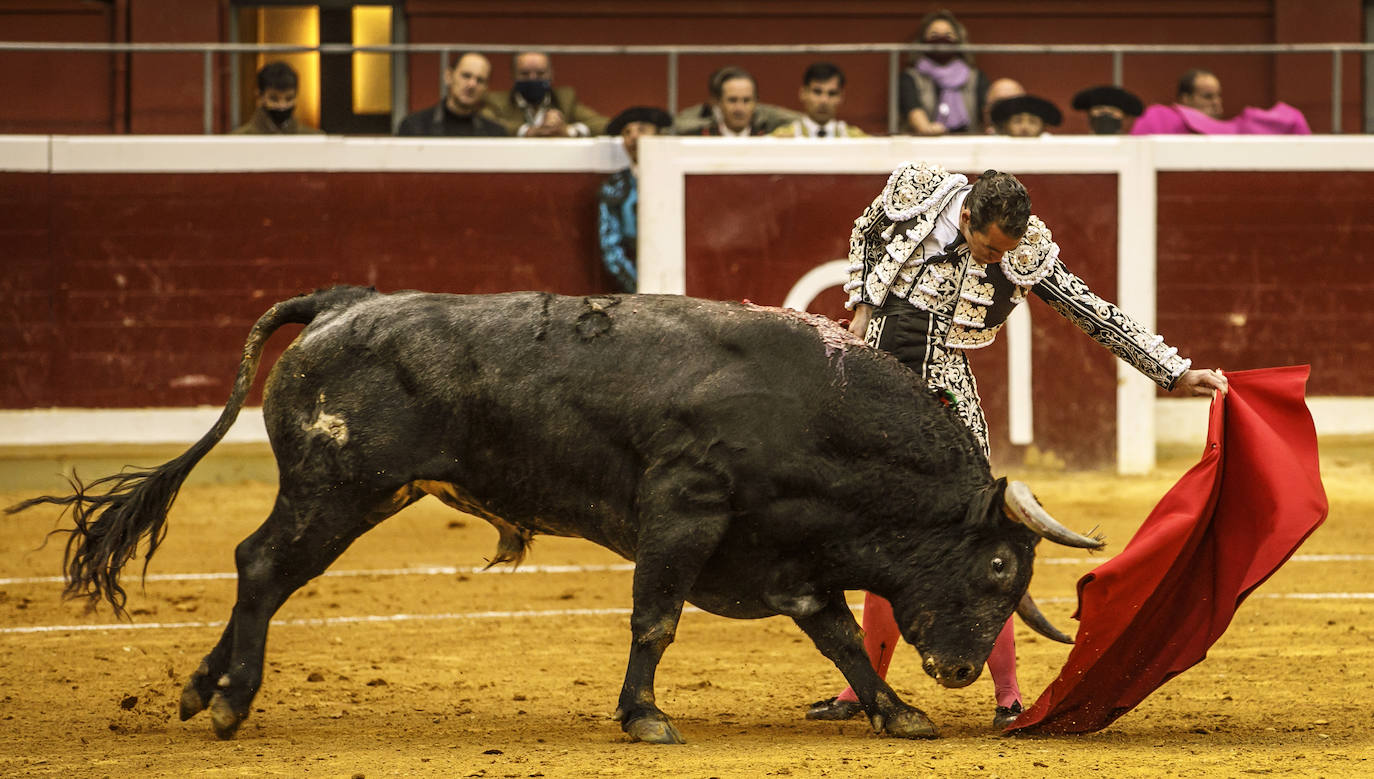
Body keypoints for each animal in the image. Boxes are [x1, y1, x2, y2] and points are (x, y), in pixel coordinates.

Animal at [8, 287, 1104, 741]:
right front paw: (646, 716)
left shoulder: (783, 554)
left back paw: (204, 689)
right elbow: (655, 618)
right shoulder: (683, 510)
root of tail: (341, 303)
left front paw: (897, 712)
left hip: (352, 491)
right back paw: (232, 700)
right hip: (341, 487)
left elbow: (835, 633)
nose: (959, 668)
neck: (817, 413)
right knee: (262, 564)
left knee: (258, 571)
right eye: (999, 567)